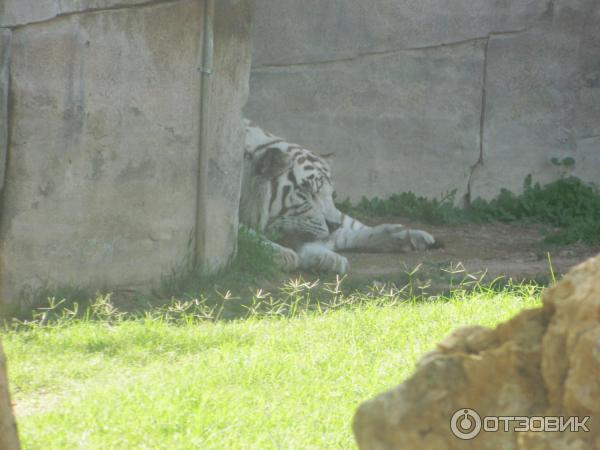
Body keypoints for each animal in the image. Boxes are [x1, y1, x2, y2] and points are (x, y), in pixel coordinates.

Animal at [239, 120, 436, 274]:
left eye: (330, 194)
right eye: (308, 192)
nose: (333, 225)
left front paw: (326, 259)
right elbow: (247, 235)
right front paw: (282, 254)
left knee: (350, 229)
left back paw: (408, 235)